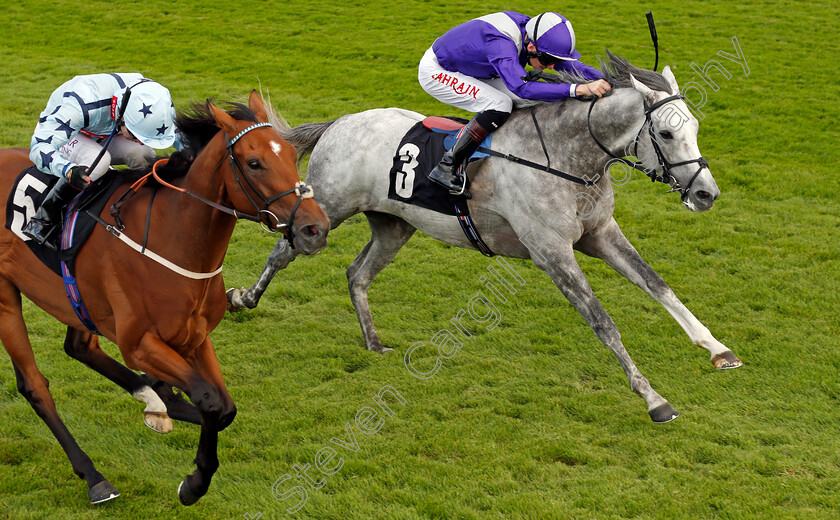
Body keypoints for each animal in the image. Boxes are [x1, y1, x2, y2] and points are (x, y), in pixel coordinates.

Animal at [0, 90, 330, 504]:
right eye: (254, 163)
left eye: (290, 153)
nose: (315, 228)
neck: (173, 237)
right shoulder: (140, 344)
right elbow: (210, 401)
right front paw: (193, 484)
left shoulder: (194, 337)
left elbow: (224, 407)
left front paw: (171, 412)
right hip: (5, 297)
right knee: (35, 386)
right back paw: (95, 477)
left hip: (76, 301)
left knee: (79, 346)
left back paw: (156, 401)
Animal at [230, 54, 740, 422]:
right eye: (667, 133)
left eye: (696, 127)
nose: (706, 193)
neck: (566, 158)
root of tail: (339, 122)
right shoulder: (552, 252)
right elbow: (603, 322)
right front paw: (654, 399)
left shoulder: (600, 234)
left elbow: (658, 285)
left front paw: (718, 350)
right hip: (326, 211)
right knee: (283, 250)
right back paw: (243, 298)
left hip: (395, 225)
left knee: (357, 273)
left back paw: (374, 343)